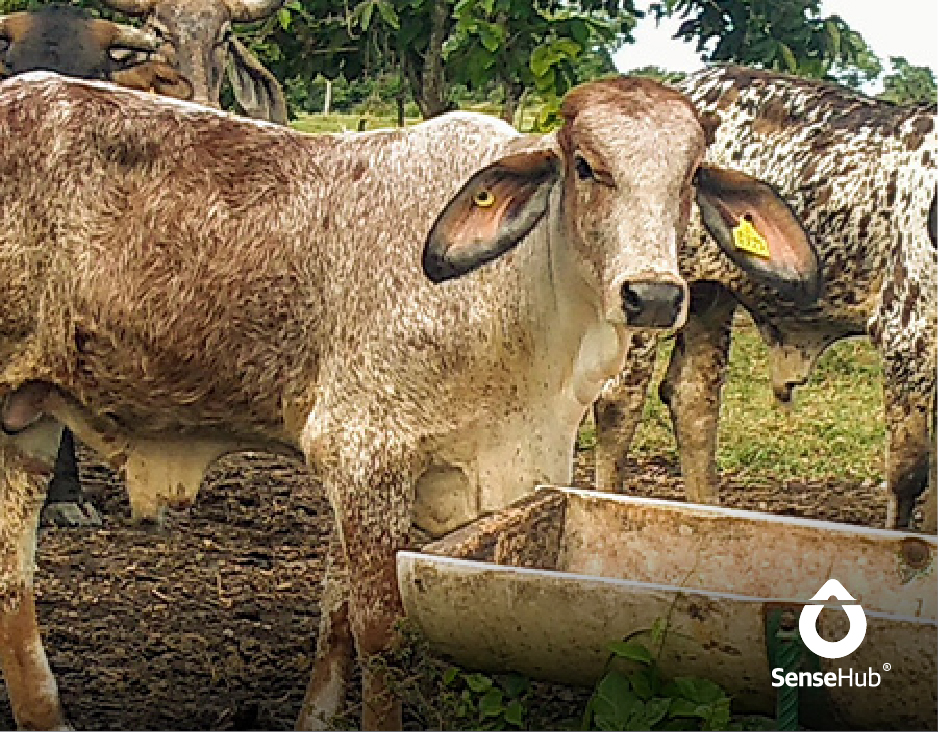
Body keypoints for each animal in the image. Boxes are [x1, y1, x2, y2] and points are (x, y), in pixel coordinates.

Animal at [596, 64, 932, 528]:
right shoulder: (907, 334)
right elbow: (908, 473)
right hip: (649, 293)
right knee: (619, 402)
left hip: (710, 293)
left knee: (694, 399)